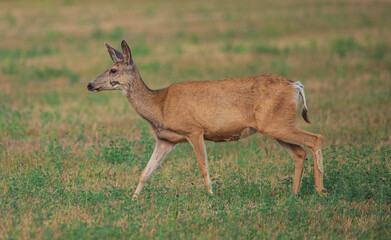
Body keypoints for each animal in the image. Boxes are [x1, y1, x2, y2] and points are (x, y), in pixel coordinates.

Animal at [87, 39, 330, 200]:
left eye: (113, 70)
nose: (90, 84)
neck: (159, 105)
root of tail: (295, 85)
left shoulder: (194, 129)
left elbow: (203, 166)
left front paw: (211, 195)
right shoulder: (165, 140)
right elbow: (146, 172)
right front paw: (133, 201)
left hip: (276, 123)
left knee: (315, 138)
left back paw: (320, 191)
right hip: (274, 125)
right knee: (299, 153)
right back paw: (294, 194)